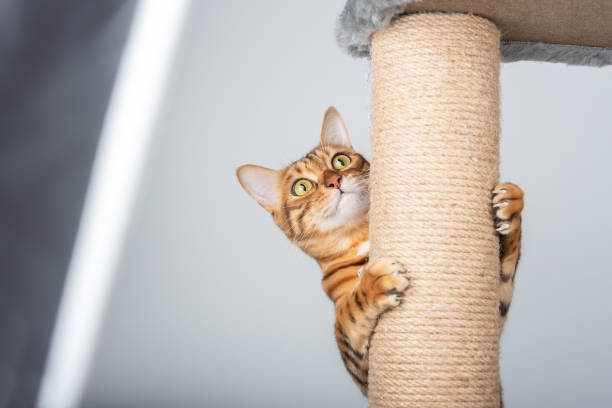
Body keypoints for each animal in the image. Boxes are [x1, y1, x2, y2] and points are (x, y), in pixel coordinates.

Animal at [234, 107, 520, 396]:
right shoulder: (363, 371)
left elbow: (506, 270)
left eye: (340, 161)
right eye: (301, 187)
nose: (335, 180)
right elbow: (349, 312)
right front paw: (375, 282)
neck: (361, 236)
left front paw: (511, 205)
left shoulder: (494, 316)